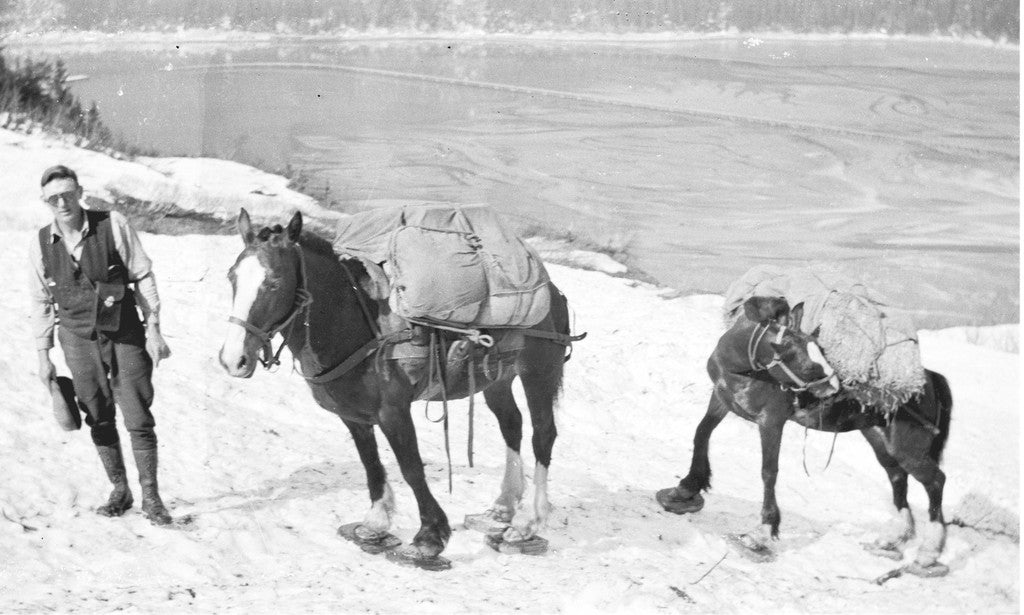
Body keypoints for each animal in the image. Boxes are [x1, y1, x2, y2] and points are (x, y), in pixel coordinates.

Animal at [218, 209, 577, 570]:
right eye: (232, 277)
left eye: (274, 282)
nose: (233, 360)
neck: (359, 324)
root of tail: (554, 294)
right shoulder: (353, 415)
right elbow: (371, 463)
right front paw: (375, 523)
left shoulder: (393, 411)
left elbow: (411, 468)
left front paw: (429, 538)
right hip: (498, 380)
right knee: (512, 426)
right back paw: (502, 508)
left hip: (539, 373)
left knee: (543, 434)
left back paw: (528, 524)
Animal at [656, 296, 952, 578]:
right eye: (811, 367)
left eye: (825, 356)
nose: (838, 389)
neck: (739, 366)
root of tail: (929, 380)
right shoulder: (721, 400)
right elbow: (701, 433)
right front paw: (687, 487)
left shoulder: (771, 422)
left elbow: (769, 472)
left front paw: (763, 531)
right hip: (881, 440)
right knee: (898, 477)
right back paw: (895, 539)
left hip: (908, 447)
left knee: (935, 481)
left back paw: (928, 553)